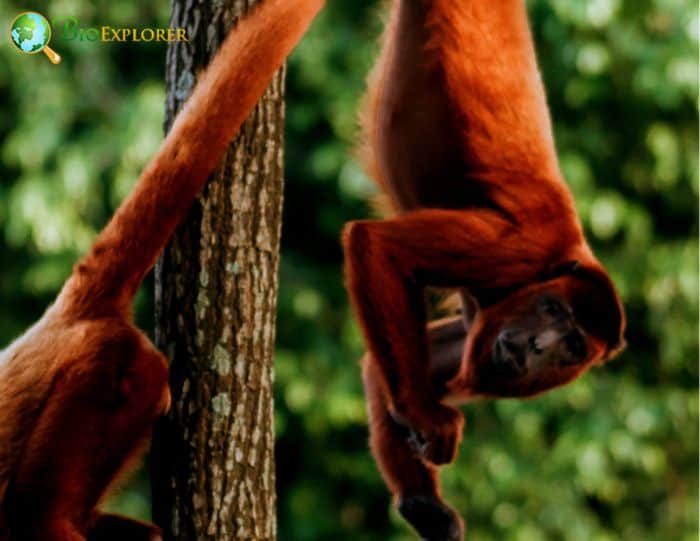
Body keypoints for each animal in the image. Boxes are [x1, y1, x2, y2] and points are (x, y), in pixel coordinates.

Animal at [344, 2, 624, 536]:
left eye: (573, 346)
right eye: (552, 310)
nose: (536, 345)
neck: (551, 266)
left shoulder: (482, 329)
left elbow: (379, 366)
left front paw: (423, 503)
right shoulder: (519, 247)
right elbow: (378, 245)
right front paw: (422, 413)